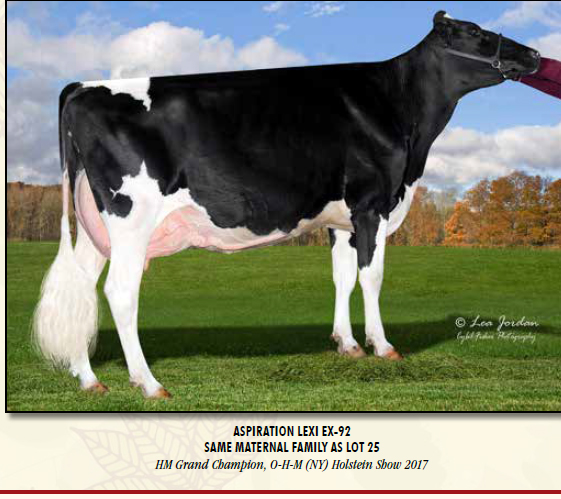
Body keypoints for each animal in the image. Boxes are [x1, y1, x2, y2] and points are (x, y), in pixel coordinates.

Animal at [33, 11, 540, 399]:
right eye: (474, 31)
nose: (534, 55)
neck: (398, 108)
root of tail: (83, 86)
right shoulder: (371, 205)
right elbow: (371, 277)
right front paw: (382, 347)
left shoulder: (340, 219)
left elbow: (341, 277)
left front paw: (347, 345)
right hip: (130, 217)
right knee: (120, 292)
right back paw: (149, 383)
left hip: (95, 222)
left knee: (82, 286)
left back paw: (89, 379)